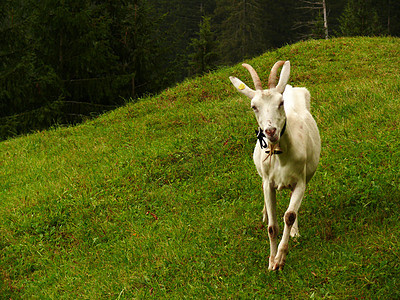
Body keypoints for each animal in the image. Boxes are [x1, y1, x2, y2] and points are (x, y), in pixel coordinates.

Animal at [230, 61, 320, 270]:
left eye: (280, 103)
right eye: (254, 106)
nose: (271, 131)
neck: (280, 157)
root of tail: (288, 87)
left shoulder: (300, 181)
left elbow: (289, 215)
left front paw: (280, 258)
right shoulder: (268, 183)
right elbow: (272, 227)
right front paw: (271, 261)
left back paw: (294, 231)